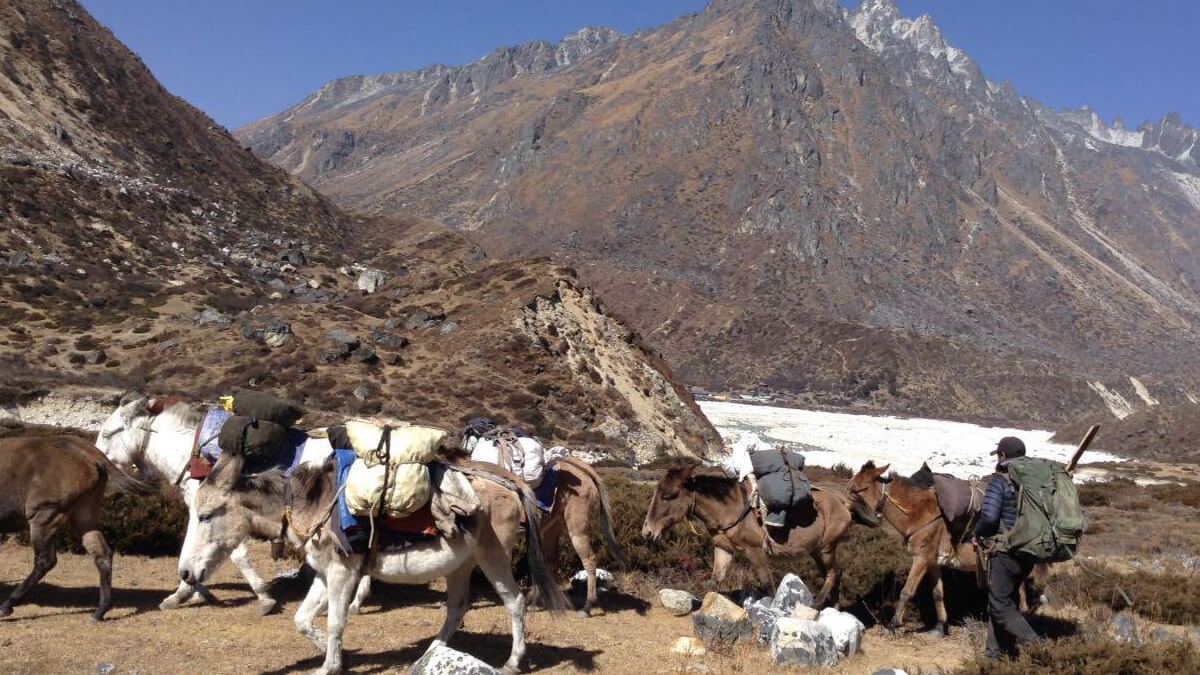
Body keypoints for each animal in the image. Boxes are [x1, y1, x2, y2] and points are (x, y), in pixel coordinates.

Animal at [0, 432, 152, 619]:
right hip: (83, 513)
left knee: (45, 560)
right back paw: (100, 610)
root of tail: (90, 453)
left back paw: (8, 604)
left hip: (45, 514)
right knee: (102, 553)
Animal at [95, 386, 369, 612]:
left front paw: (263, 597)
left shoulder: (221, 513)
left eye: (108, 434)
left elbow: (232, 553)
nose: (97, 464)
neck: (193, 459)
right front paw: (194, 591)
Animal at [638, 466, 854, 600]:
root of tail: (842, 502)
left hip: (826, 549)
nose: (647, 531)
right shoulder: (724, 549)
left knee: (833, 574)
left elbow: (768, 585)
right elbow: (715, 581)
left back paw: (817, 603)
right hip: (817, 552)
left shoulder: (756, 551)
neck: (730, 509)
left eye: (670, 495)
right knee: (834, 576)